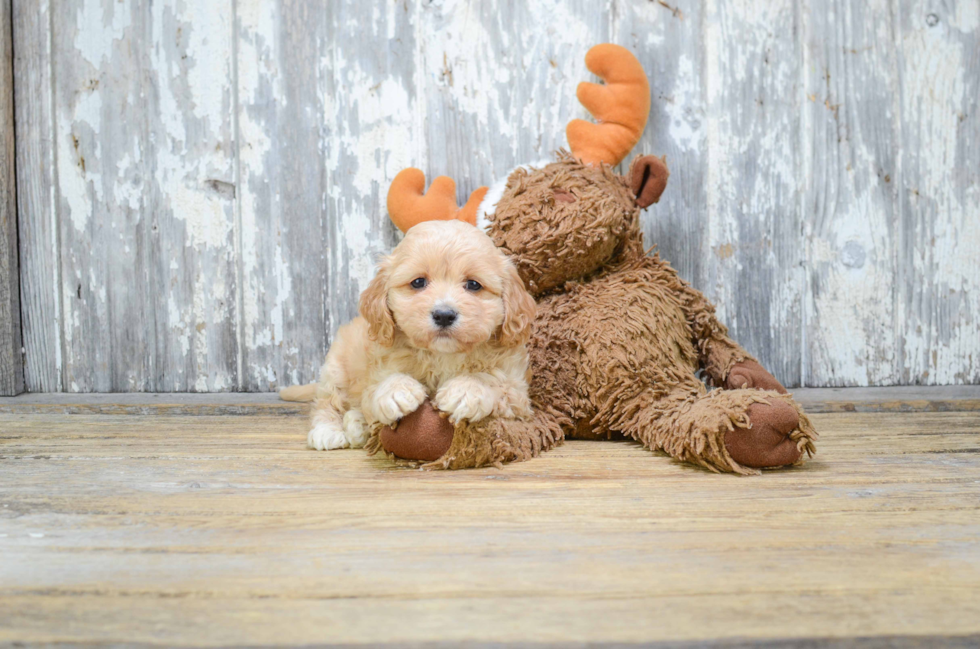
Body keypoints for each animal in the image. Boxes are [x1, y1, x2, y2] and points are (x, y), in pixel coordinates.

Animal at [280, 219, 532, 450]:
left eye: (473, 284)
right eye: (418, 282)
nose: (444, 315)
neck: (442, 355)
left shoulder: (518, 392)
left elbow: (493, 381)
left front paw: (465, 389)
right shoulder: (376, 372)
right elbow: (379, 388)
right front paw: (395, 391)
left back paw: (356, 426)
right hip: (336, 368)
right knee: (328, 401)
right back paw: (327, 430)